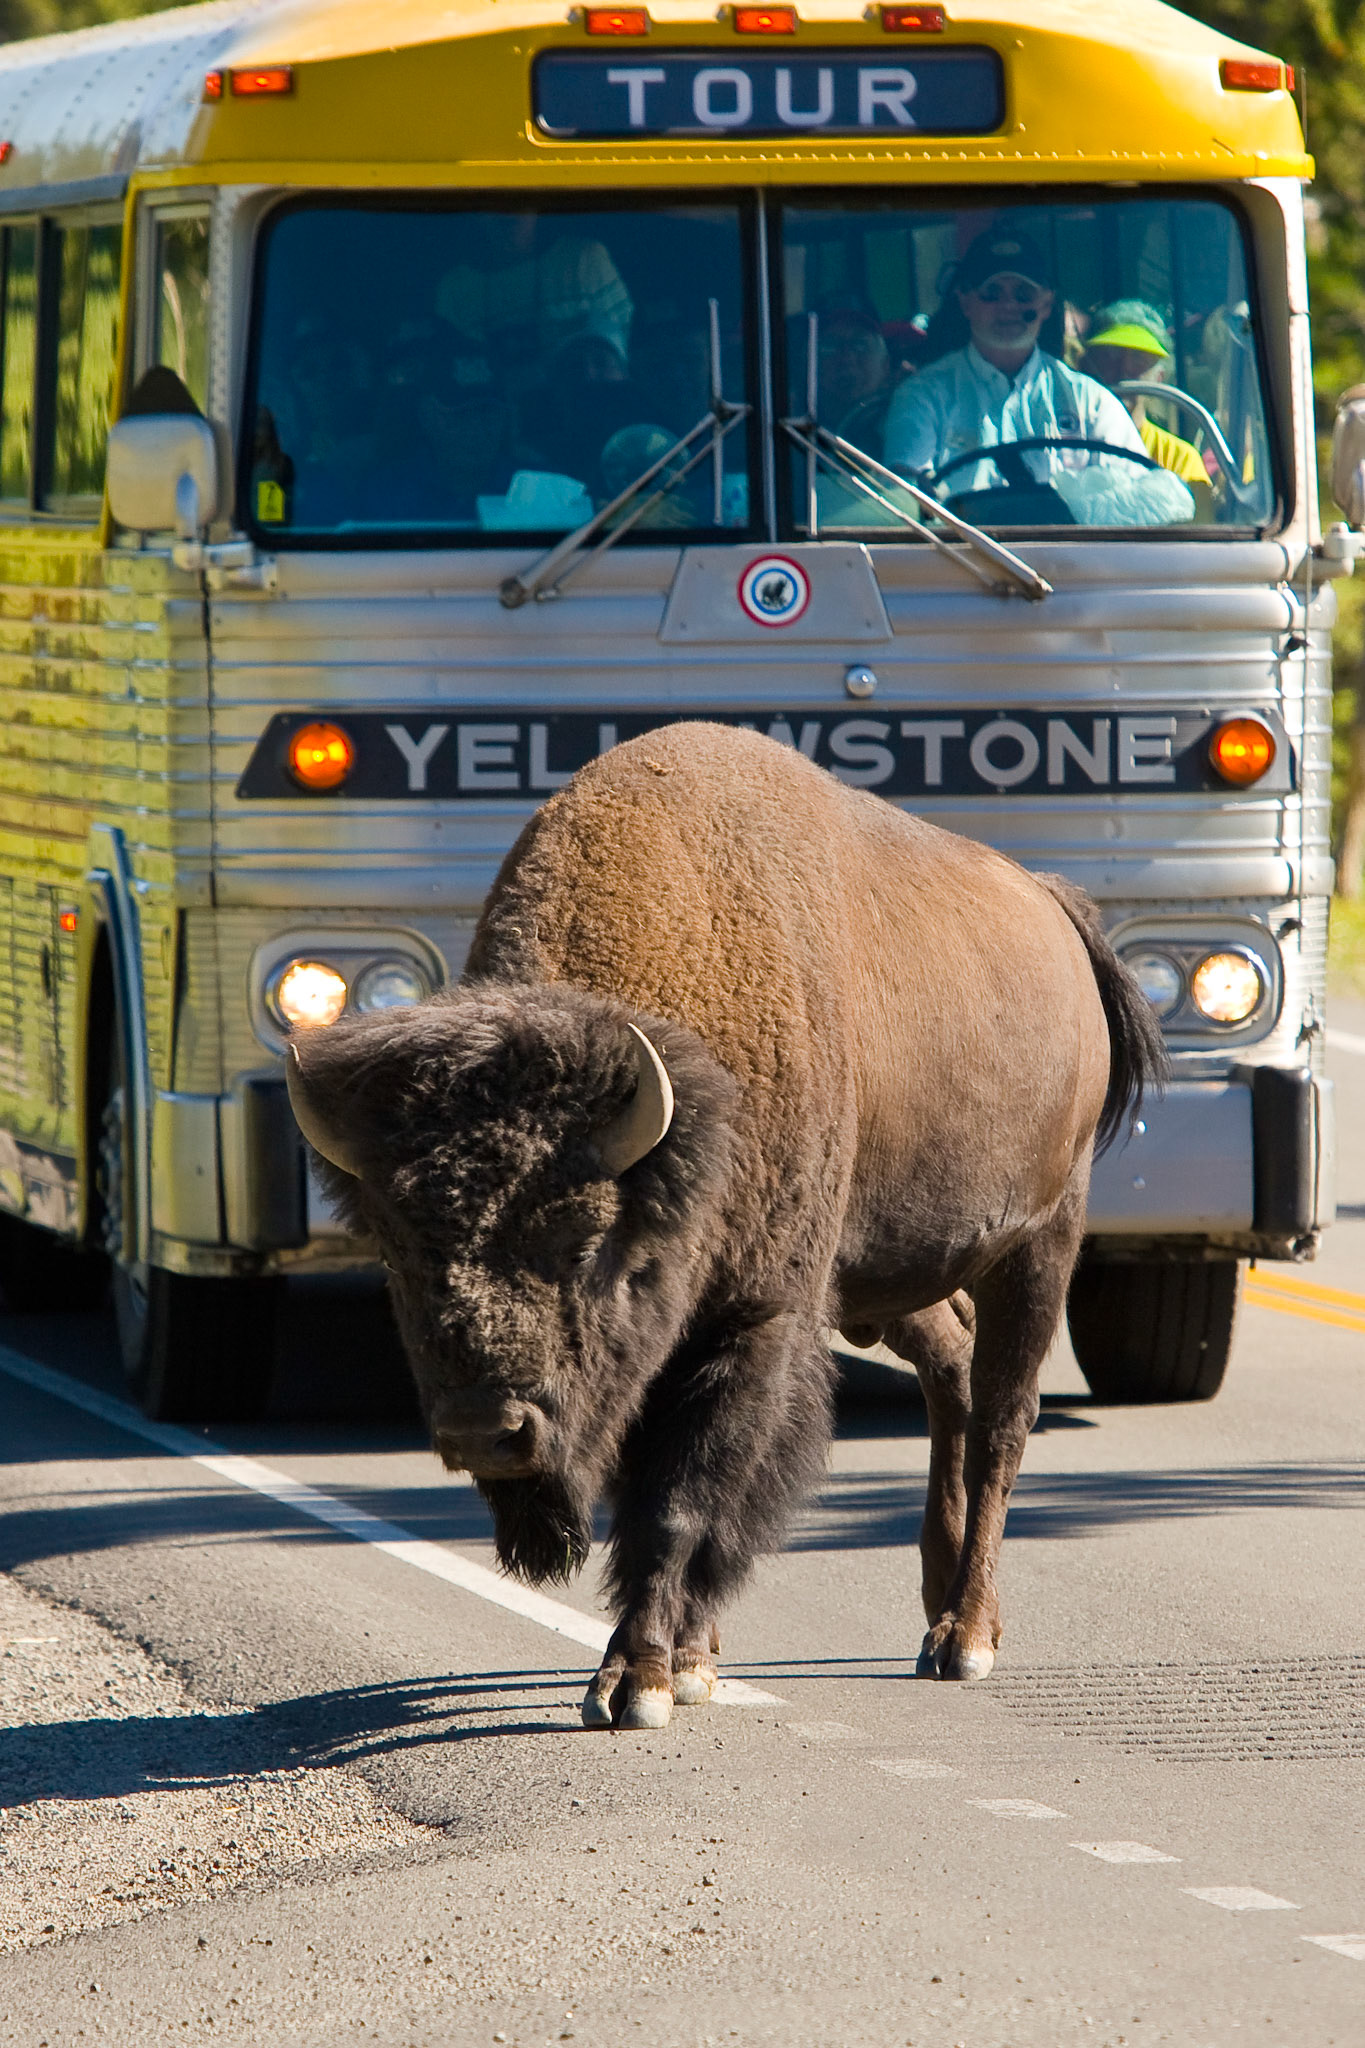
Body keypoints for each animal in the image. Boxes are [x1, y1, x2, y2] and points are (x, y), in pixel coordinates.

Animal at [287, 722, 1164, 1728]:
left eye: (587, 1243)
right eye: (397, 1254)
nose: (485, 1430)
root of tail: (1054, 910)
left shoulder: (755, 1318)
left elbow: (680, 1501)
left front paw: (636, 1683)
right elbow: (662, 1498)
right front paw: (688, 1659)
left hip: (1039, 1239)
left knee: (1002, 1422)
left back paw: (964, 1637)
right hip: (886, 1276)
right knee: (950, 1363)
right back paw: (934, 1595)